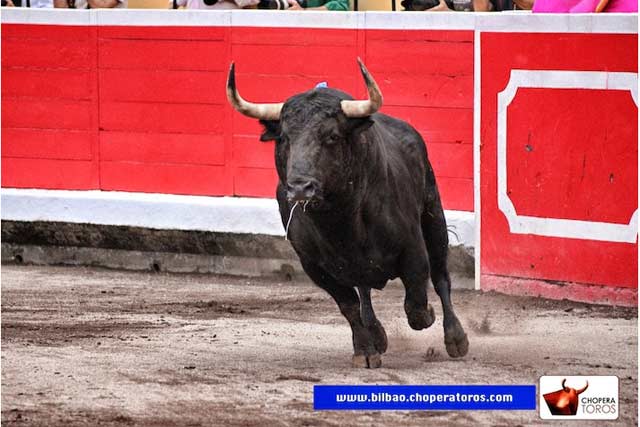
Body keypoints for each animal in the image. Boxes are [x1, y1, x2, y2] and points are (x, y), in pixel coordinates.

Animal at [228, 59, 468, 368]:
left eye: (331, 136)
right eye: (283, 138)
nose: (300, 187)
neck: (340, 219)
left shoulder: (413, 246)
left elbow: (416, 301)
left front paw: (427, 316)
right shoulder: (314, 265)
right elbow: (349, 305)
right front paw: (365, 350)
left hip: (433, 216)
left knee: (440, 277)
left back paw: (455, 338)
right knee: (364, 290)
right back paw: (376, 332)